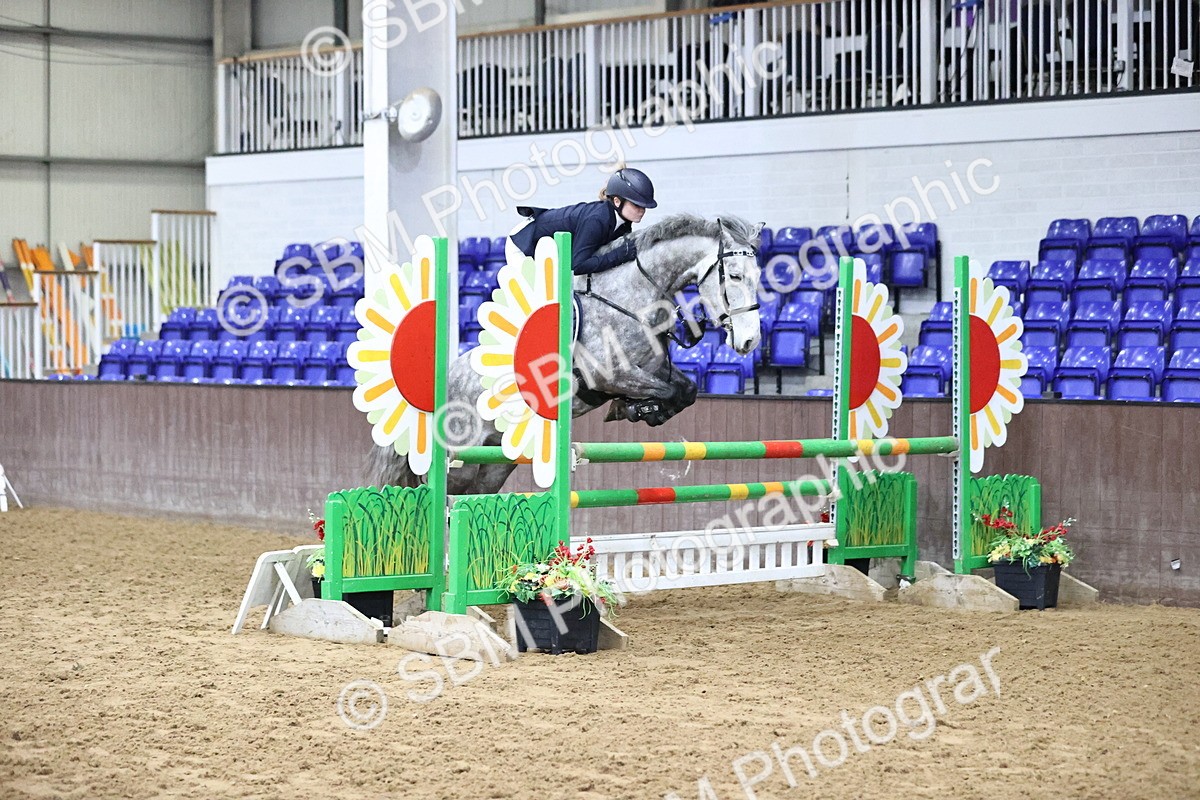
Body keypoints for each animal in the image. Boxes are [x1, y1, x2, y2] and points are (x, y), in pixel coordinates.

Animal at [371, 213, 765, 495]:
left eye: (758, 275)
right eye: (733, 275)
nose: (750, 342)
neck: (632, 298)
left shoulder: (653, 368)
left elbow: (685, 390)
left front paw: (645, 411)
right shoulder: (612, 375)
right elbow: (663, 390)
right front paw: (636, 409)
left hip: (495, 464)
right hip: (460, 460)